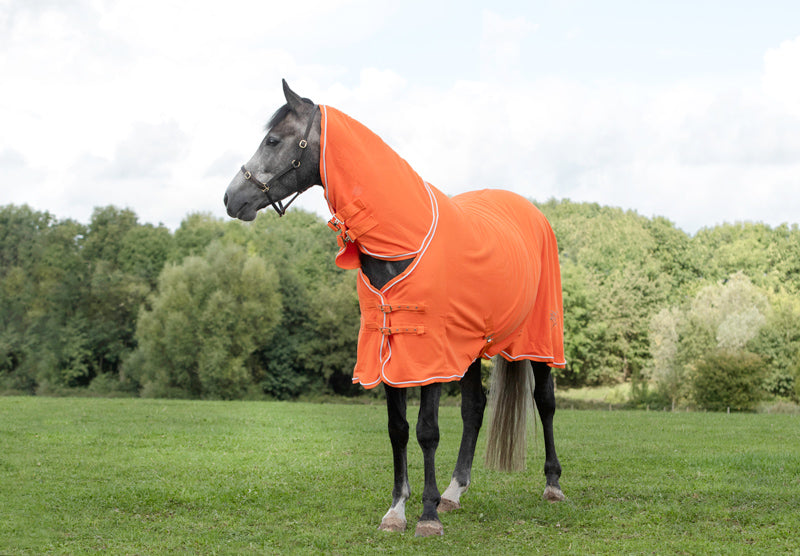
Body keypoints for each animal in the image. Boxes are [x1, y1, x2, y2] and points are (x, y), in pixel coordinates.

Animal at [222, 80, 564, 536]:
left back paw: (552, 485)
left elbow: (427, 430)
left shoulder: (428, 353)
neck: (402, 238)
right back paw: (454, 491)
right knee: (475, 409)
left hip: (539, 339)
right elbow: (398, 429)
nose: (231, 198)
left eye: (273, 140)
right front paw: (398, 510)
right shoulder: (388, 349)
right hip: (471, 345)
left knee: (545, 401)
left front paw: (427, 516)